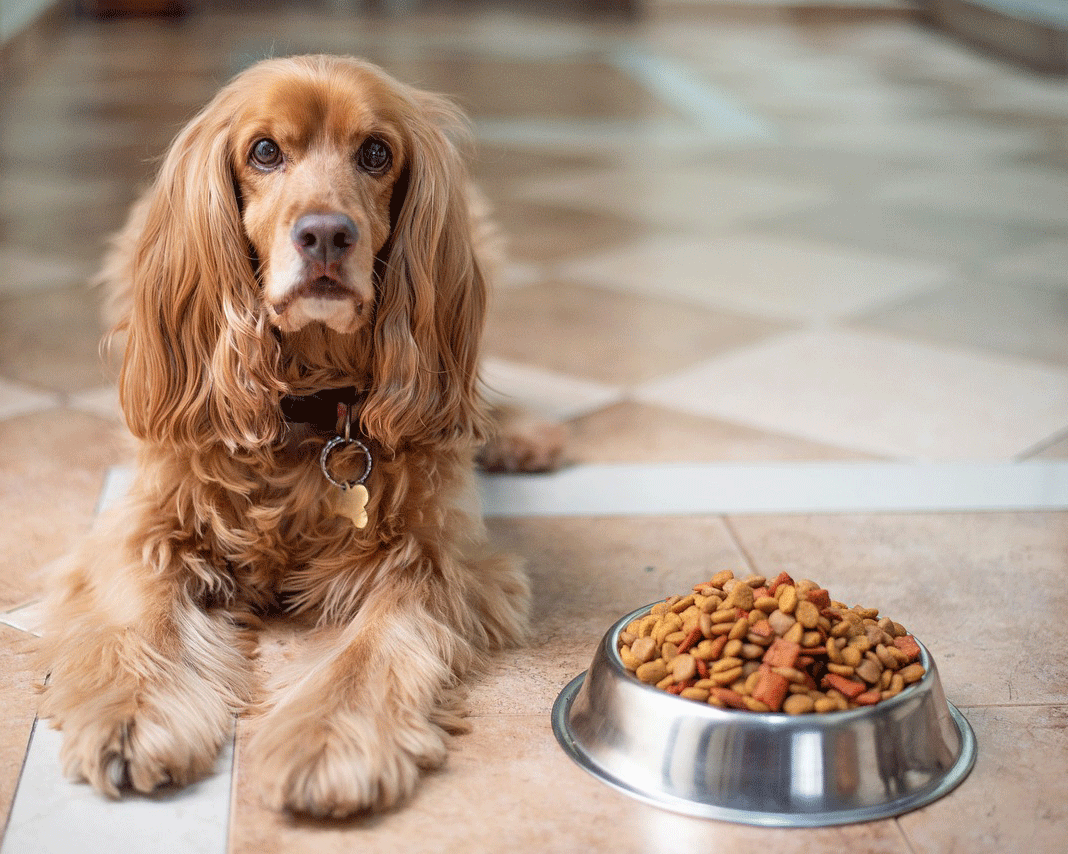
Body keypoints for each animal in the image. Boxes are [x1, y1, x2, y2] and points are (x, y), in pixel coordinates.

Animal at [37, 56, 559, 815]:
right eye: (264, 152)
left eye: (375, 153)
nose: (326, 236)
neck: (310, 408)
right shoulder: (146, 526)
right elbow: (145, 617)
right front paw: (133, 716)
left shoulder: (436, 558)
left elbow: (374, 648)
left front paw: (330, 741)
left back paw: (519, 432)